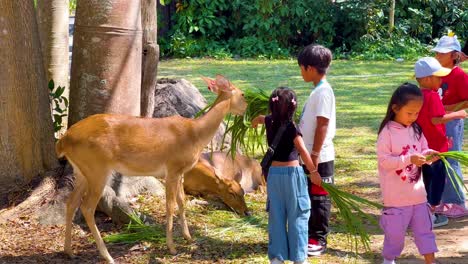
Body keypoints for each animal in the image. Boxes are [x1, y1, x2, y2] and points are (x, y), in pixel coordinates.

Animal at [56, 75, 247, 264]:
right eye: (243, 94)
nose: (246, 212)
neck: (196, 135)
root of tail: (64, 140)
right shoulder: (172, 168)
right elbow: (170, 205)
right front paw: (172, 247)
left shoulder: (181, 173)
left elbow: (182, 202)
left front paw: (188, 237)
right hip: (97, 168)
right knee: (87, 207)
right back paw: (107, 256)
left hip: (81, 170)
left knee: (71, 202)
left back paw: (68, 251)